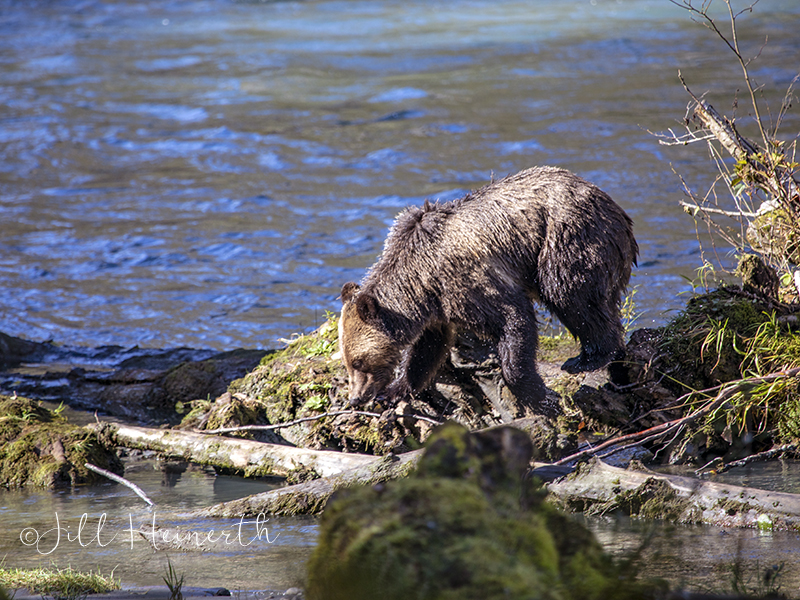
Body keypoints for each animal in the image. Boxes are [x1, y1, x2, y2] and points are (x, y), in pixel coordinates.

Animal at [338, 164, 636, 418]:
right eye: (348, 362)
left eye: (359, 362)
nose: (355, 398)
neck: (419, 283)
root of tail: (613, 204)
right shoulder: (437, 308)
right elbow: (426, 351)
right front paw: (394, 391)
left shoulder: (466, 280)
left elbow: (513, 319)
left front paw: (543, 398)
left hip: (569, 237)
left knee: (571, 295)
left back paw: (587, 358)